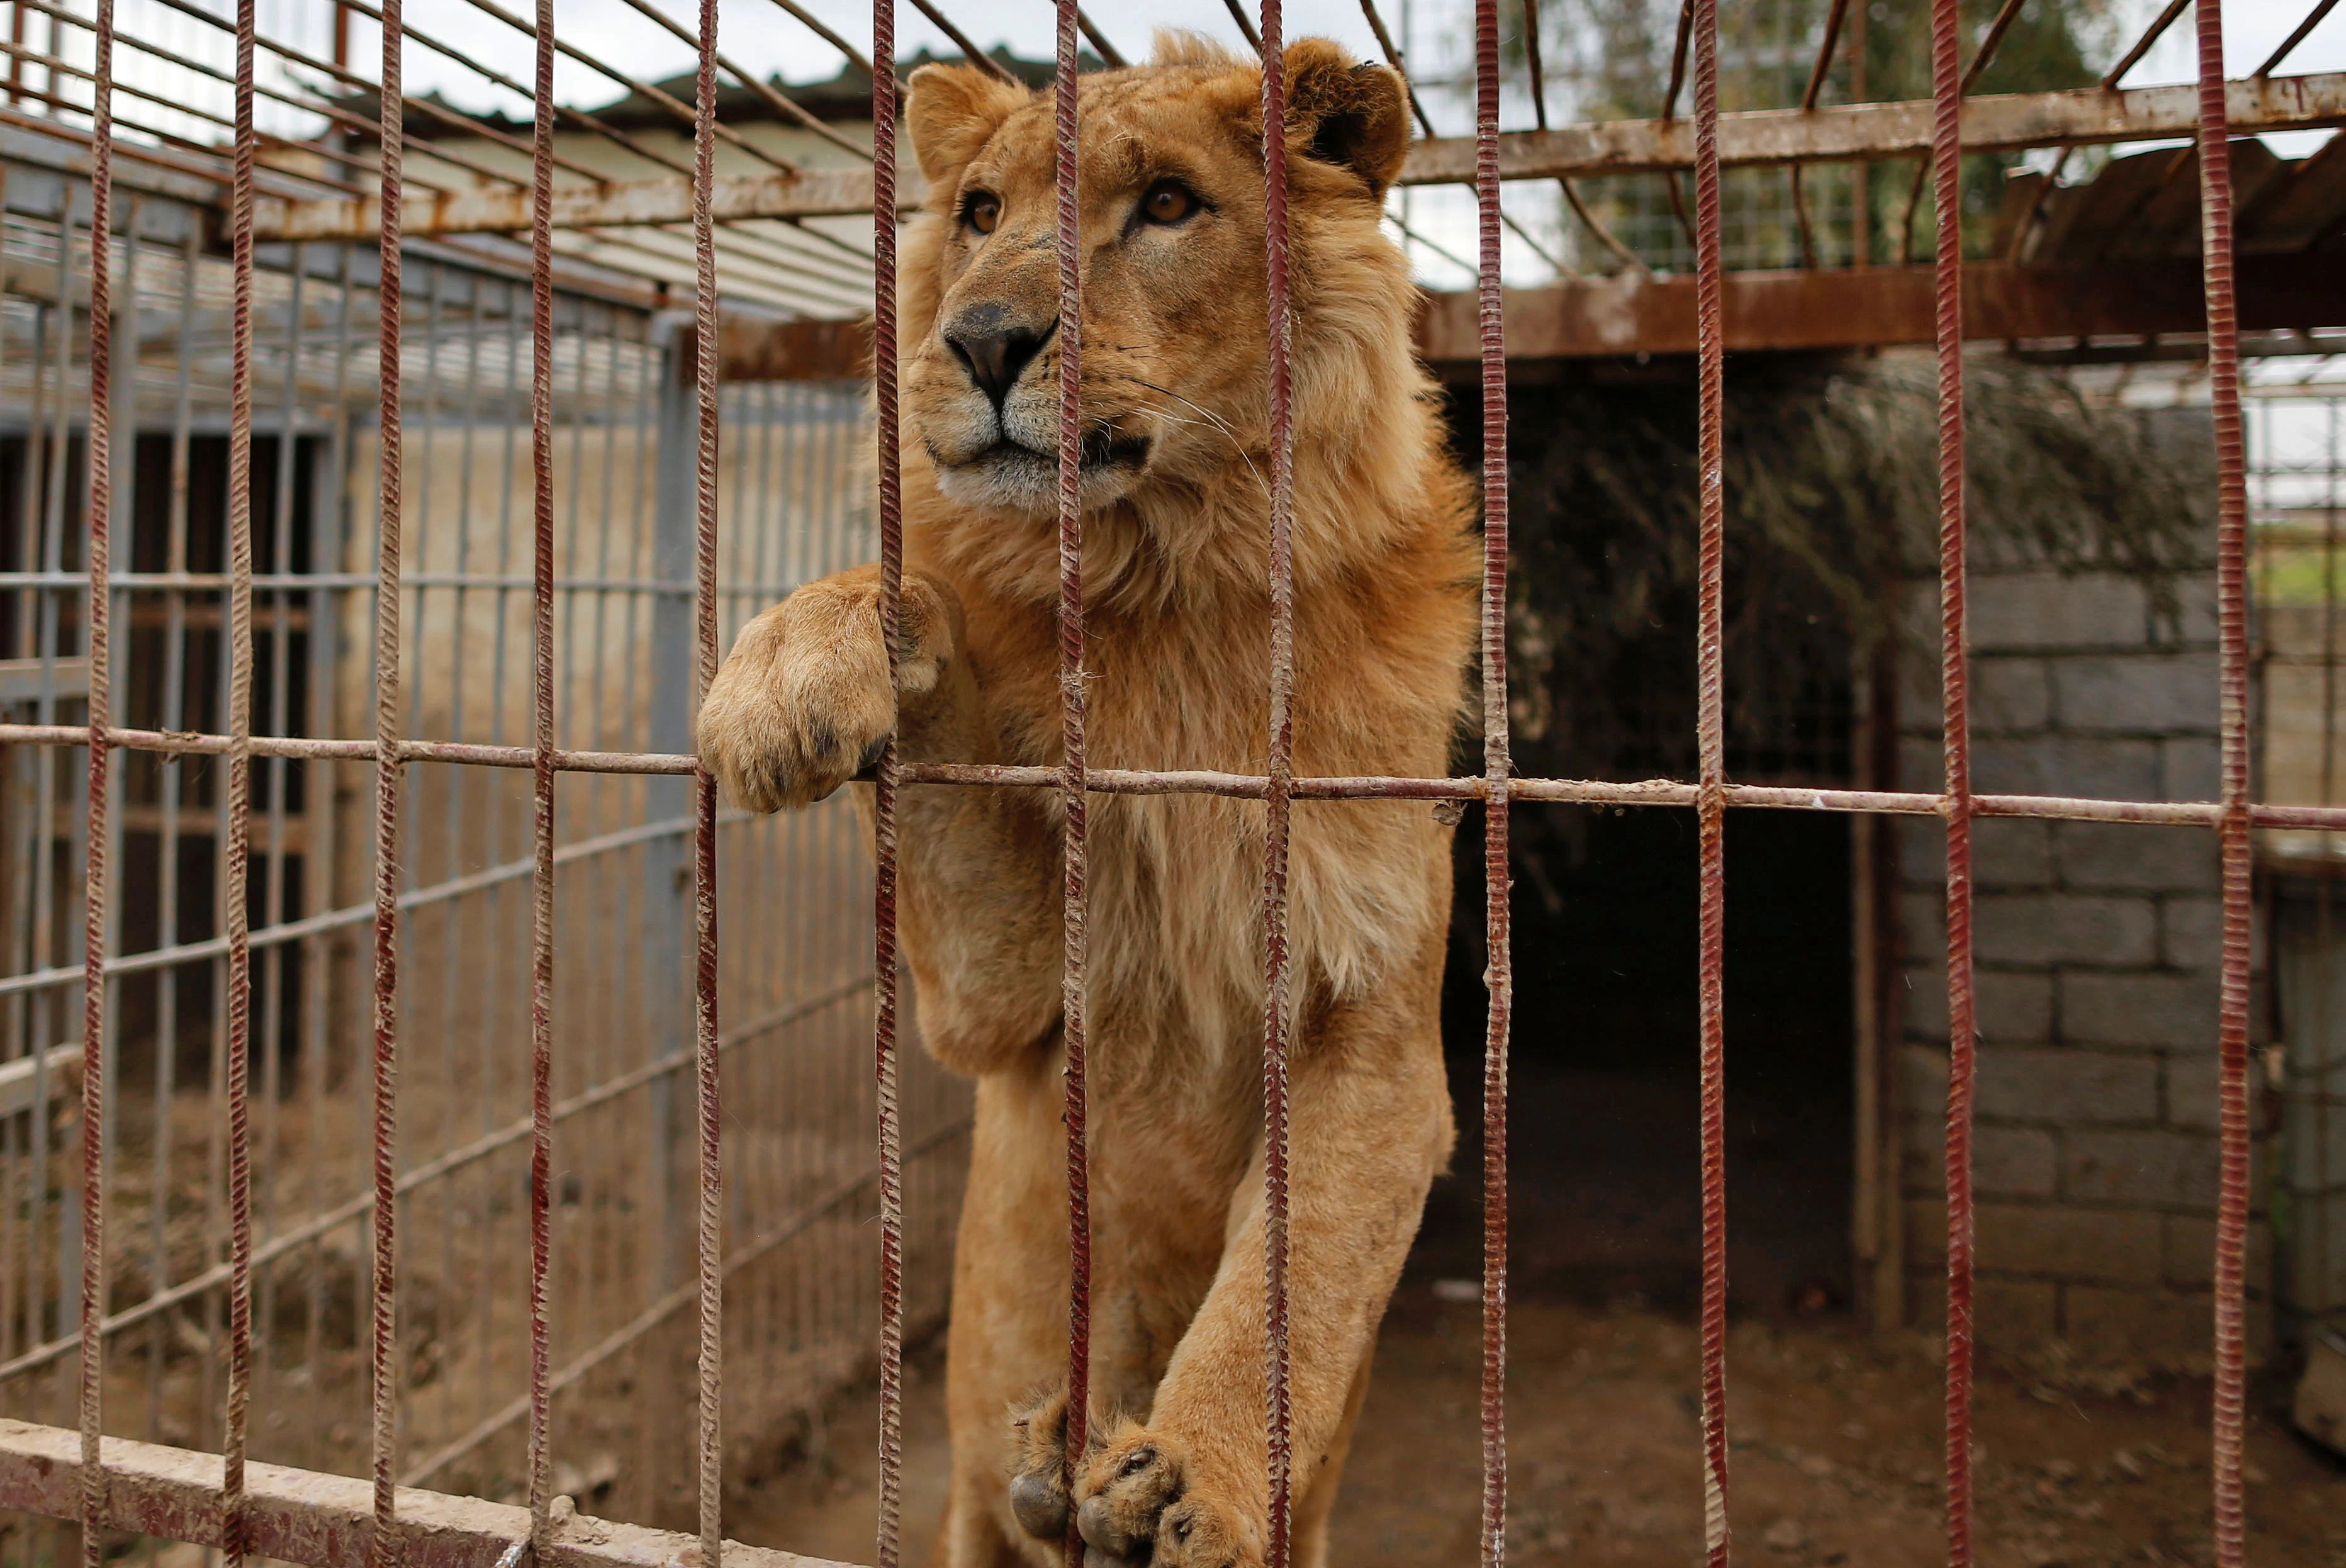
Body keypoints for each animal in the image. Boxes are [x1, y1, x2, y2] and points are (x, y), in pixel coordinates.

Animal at [697, 34, 1479, 1568]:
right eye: (981, 213)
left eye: (1167, 205)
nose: (985, 340)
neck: (1165, 586)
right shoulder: (1004, 1007)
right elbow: (914, 598)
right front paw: (786, 671)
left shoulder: (1382, 1043)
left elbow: (1291, 1277)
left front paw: (1184, 1480)